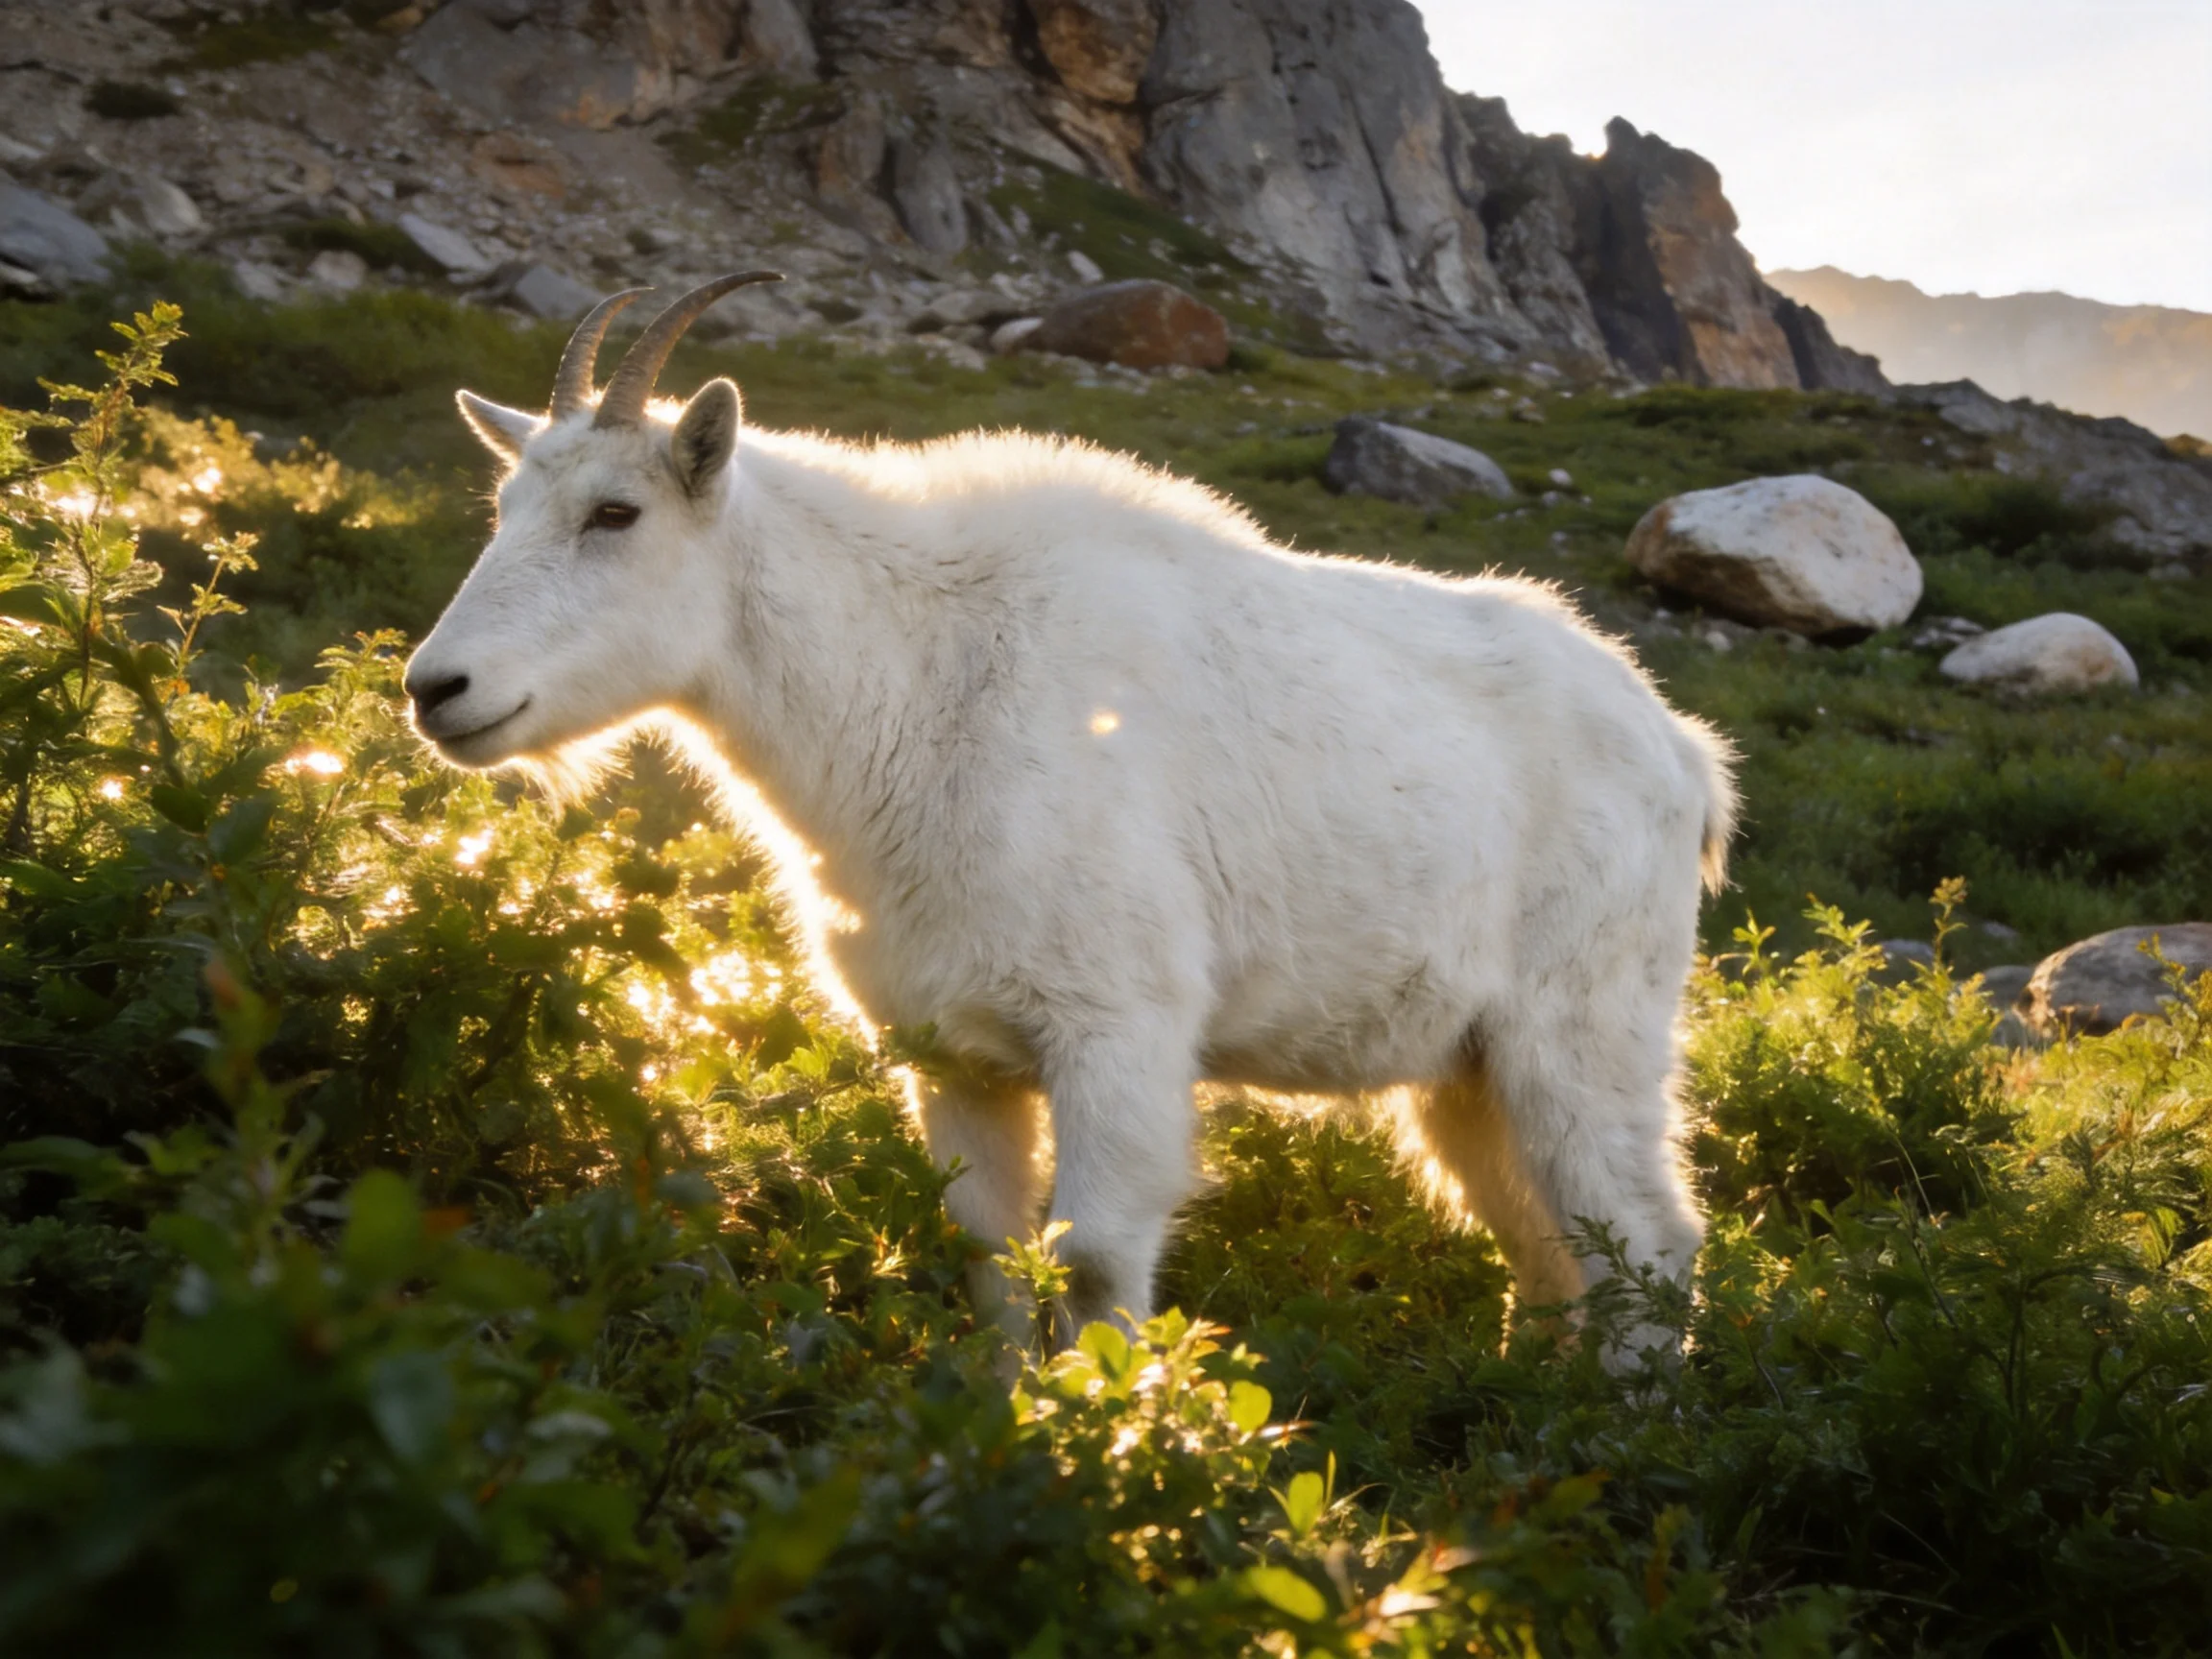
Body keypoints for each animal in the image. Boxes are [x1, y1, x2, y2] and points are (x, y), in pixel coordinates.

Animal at [407, 273, 1738, 1360]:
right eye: (504, 507)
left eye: (616, 514)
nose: (438, 689)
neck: (915, 685)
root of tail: (1686, 755)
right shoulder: (951, 1052)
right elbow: (987, 1257)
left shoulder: (1119, 1030)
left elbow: (1092, 1264)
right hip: (1467, 1067)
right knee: (1544, 1243)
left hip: (1586, 1029)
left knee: (1647, 1237)